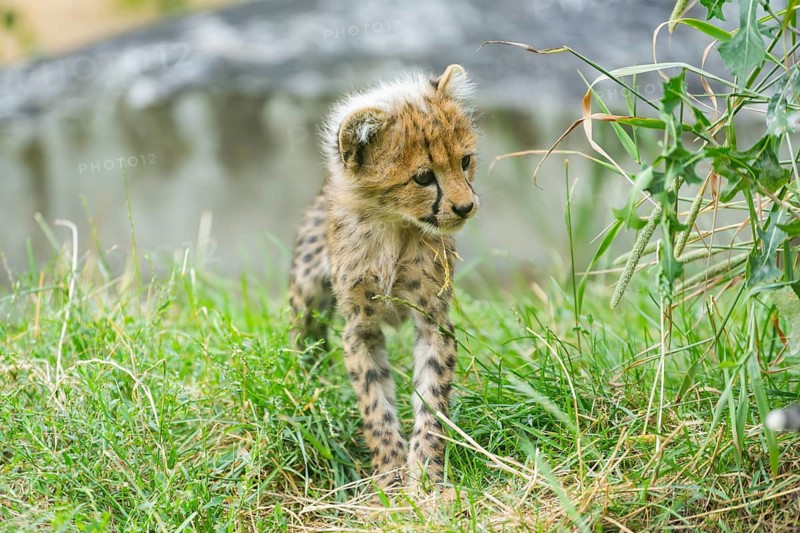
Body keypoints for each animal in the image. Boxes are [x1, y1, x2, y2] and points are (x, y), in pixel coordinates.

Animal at [287, 64, 479, 492]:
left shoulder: (433, 321)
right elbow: (375, 404)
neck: (394, 225)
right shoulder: (360, 328)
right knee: (303, 334)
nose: (465, 207)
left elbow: (432, 399)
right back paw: (306, 385)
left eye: (465, 161)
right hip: (308, 288)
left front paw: (425, 474)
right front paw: (390, 475)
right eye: (423, 177)